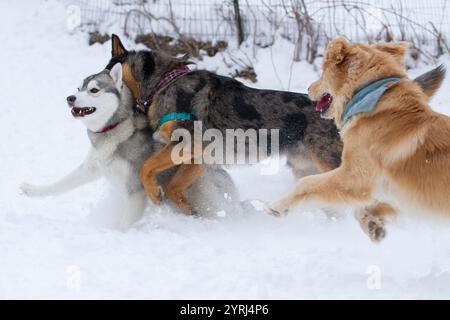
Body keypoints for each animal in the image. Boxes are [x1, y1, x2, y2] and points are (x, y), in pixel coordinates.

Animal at [107, 33, 444, 241]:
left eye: (106, 74)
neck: (161, 83)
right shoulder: (198, 158)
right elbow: (175, 187)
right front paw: (187, 211)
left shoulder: (186, 146)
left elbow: (146, 168)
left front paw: (154, 194)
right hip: (309, 172)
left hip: (335, 169)